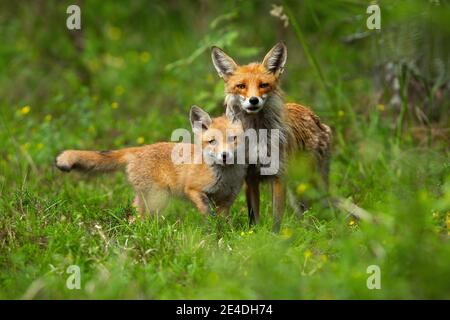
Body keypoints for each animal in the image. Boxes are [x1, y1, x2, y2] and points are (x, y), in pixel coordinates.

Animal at [56, 106, 248, 216]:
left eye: (233, 139)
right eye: (212, 141)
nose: (225, 155)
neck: (225, 178)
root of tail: (139, 149)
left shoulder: (227, 200)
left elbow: (222, 224)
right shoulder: (193, 190)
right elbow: (208, 214)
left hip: (147, 199)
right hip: (158, 199)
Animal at [210, 42, 330, 231]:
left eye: (263, 85)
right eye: (241, 86)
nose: (253, 100)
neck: (257, 136)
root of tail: (310, 113)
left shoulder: (279, 175)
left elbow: (276, 219)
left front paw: (275, 237)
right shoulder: (250, 177)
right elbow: (254, 216)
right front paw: (256, 234)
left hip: (310, 182)